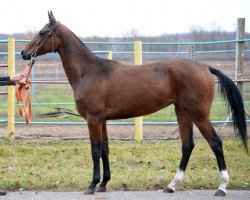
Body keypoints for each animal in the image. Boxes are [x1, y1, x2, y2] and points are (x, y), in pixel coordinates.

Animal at [22, 12, 248, 197]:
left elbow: (95, 151)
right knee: (187, 145)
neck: (90, 71)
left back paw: (222, 187)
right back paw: (172, 185)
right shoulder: (102, 120)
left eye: (42, 33)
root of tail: (205, 67)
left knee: (215, 143)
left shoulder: (93, 119)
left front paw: (92, 185)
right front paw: (103, 184)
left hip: (199, 114)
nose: (24, 53)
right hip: (183, 112)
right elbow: (105, 149)